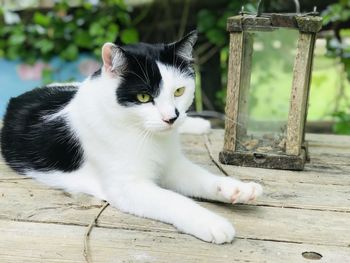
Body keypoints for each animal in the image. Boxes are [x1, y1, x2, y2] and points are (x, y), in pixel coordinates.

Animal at [0, 32, 262, 244]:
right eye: (144, 97)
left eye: (179, 91)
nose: (171, 118)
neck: (145, 135)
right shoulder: (127, 187)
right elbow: (172, 200)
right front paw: (211, 222)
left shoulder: (173, 165)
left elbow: (203, 178)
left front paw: (236, 188)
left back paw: (197, 124)